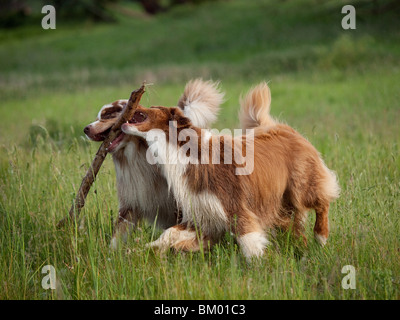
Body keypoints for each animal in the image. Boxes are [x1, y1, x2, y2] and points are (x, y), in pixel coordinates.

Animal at [83, 79, 225, 249]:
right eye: (98, 116)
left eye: (108, 115)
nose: (85, 129)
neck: (136, 156)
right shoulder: (130, 203)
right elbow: (117, 237)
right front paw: (111, 253)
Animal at [120, 82, 340, 260]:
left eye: (153, 108)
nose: (125, 102)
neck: (183, 150)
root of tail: (282, 127)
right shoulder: (202, 215)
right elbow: (169, 234)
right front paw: (149, 249)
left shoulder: (235, 206)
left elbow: (249, 241)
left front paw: (261, 267)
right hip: (281, 204)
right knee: (296, 227)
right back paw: (302, 249)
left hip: (301, 186)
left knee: (322, 202)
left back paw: (320, 237)